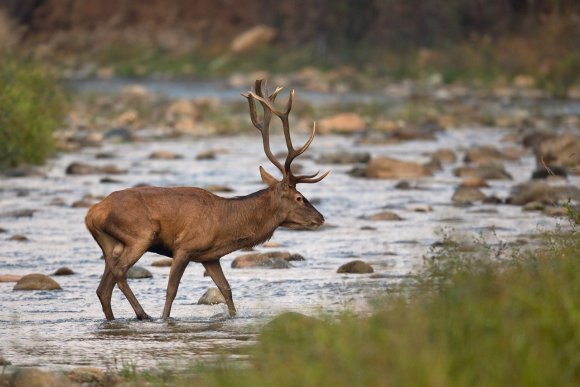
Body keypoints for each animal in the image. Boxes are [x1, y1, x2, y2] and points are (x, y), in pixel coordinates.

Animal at [86, 79, 330, 322]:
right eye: (299, 197)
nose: (321, 218)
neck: (226, 227)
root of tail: (92, 213)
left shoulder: (210, 257)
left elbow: (226, 289)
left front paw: (232, 317)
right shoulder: (184, 247)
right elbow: (171, 290)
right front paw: (165, 319)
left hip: (111, 245)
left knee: (103, 289)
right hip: (141, 235)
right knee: (119, 273)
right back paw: (143, 314)